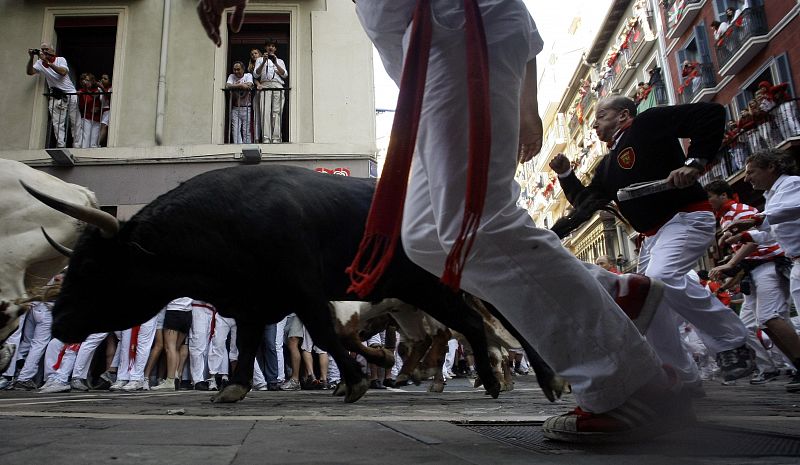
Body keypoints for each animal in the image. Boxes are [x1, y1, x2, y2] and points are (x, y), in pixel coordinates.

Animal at [28, 165, 560, 400]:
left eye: (92, 268)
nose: (60, 320)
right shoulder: (252, 300)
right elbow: (247, 342)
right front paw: (234, 388)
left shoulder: (302, 285)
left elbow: (322, 333)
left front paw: (355, 382)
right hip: (423, 290)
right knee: (479, 324)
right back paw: (516, 378)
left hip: (433, 286)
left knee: (481, 323)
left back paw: (512, 378)